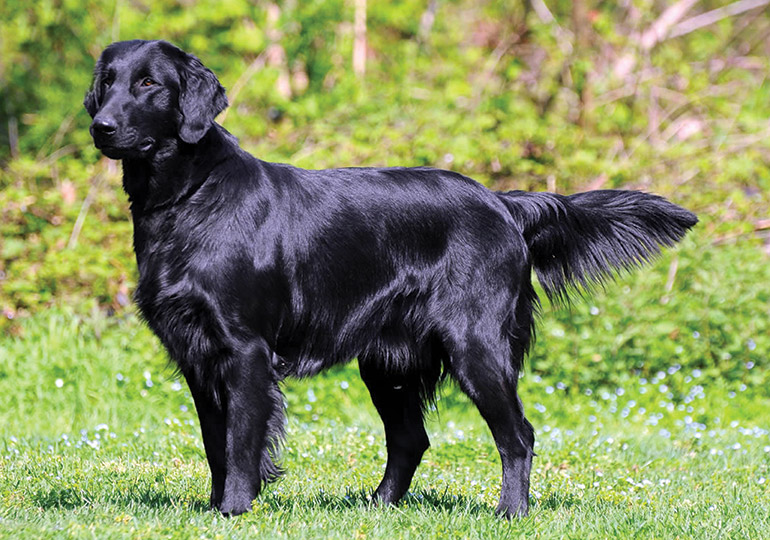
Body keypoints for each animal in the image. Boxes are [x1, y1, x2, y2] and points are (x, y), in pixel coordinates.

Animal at [85, 40, 696, 516]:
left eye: (148, 84)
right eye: (107, 81)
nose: (100, 126)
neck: (189, 197)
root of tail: (502, 202)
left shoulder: (245, 350)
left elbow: (240, 443)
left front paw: (234, 510)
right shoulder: (197, 354)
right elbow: (216, 442)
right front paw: (215, 509)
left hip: (475, 344)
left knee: (517, 436)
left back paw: (511, 513)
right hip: (388, 362)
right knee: (411, 439)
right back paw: (377, 507)